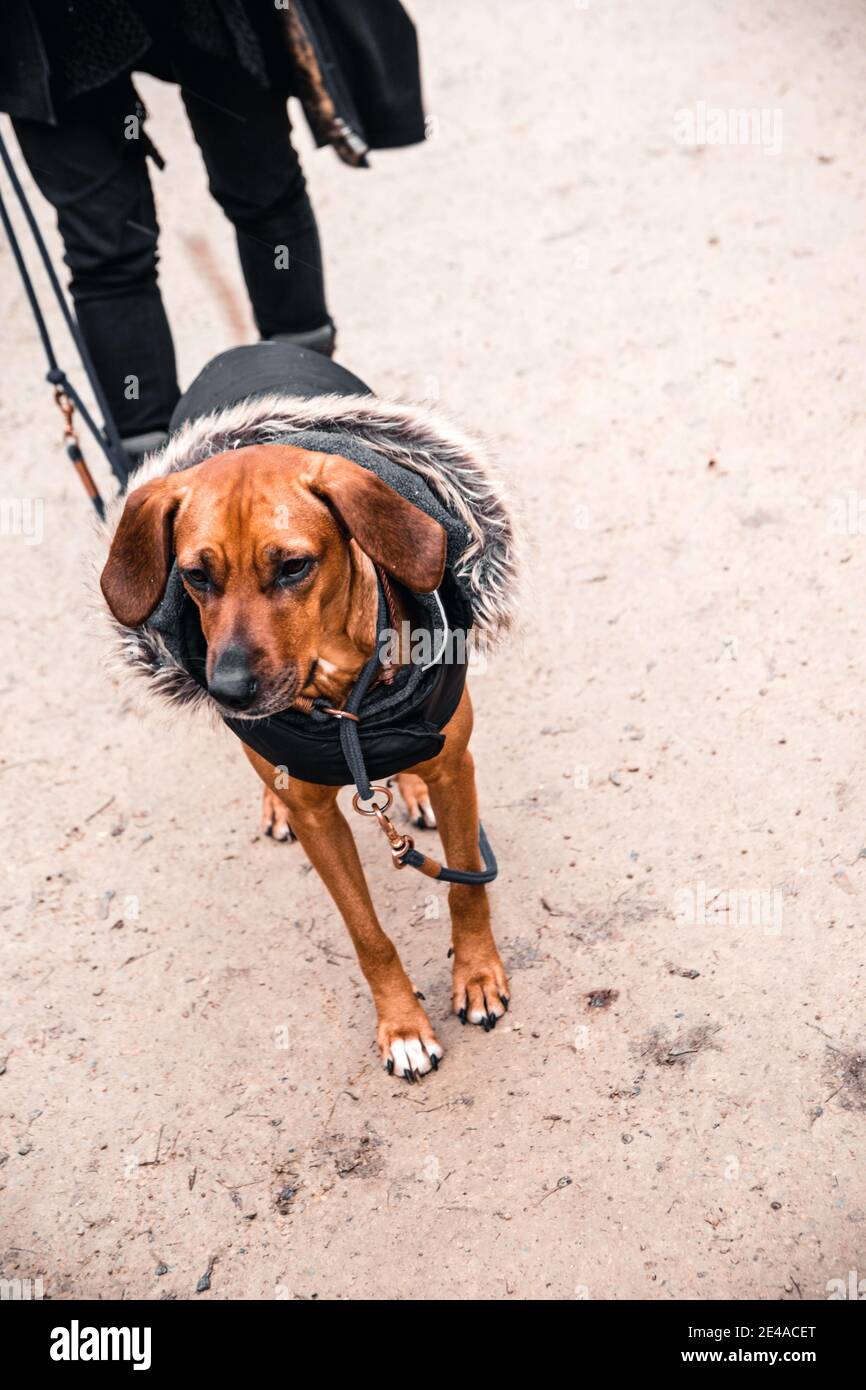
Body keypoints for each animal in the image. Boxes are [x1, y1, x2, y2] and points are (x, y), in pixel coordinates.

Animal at [100, 444, 508, 1073]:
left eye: (294, 566)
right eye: (196, 575)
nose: (229, 690)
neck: (344, 701)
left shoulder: (455, 769)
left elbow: (466, 888)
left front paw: (479, 977)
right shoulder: (318, 819)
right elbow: (367, 934)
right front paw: (403, 1026)